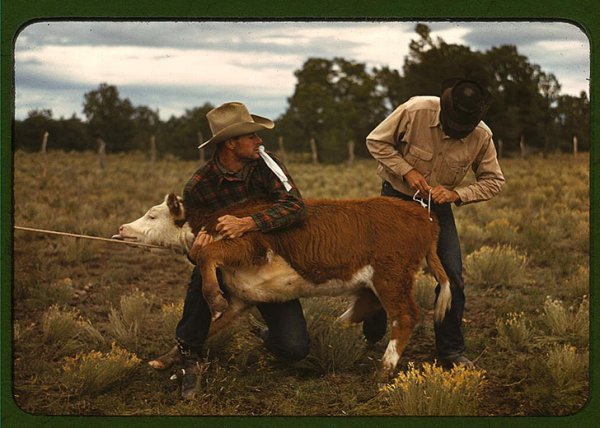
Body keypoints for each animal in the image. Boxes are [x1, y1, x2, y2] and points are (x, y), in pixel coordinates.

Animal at [113, 192, 450, 376]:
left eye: (152, 215)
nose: (122, 227)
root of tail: (424, 216)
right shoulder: (243, 297)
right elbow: (210, 327)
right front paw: (164, 360)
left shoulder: (248, 246)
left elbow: (206, 254)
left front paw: (214, 299)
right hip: (377, 280)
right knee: (365, 307)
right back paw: (328, 334)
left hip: (392, 275)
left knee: (405, 316)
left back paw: (385, 367)